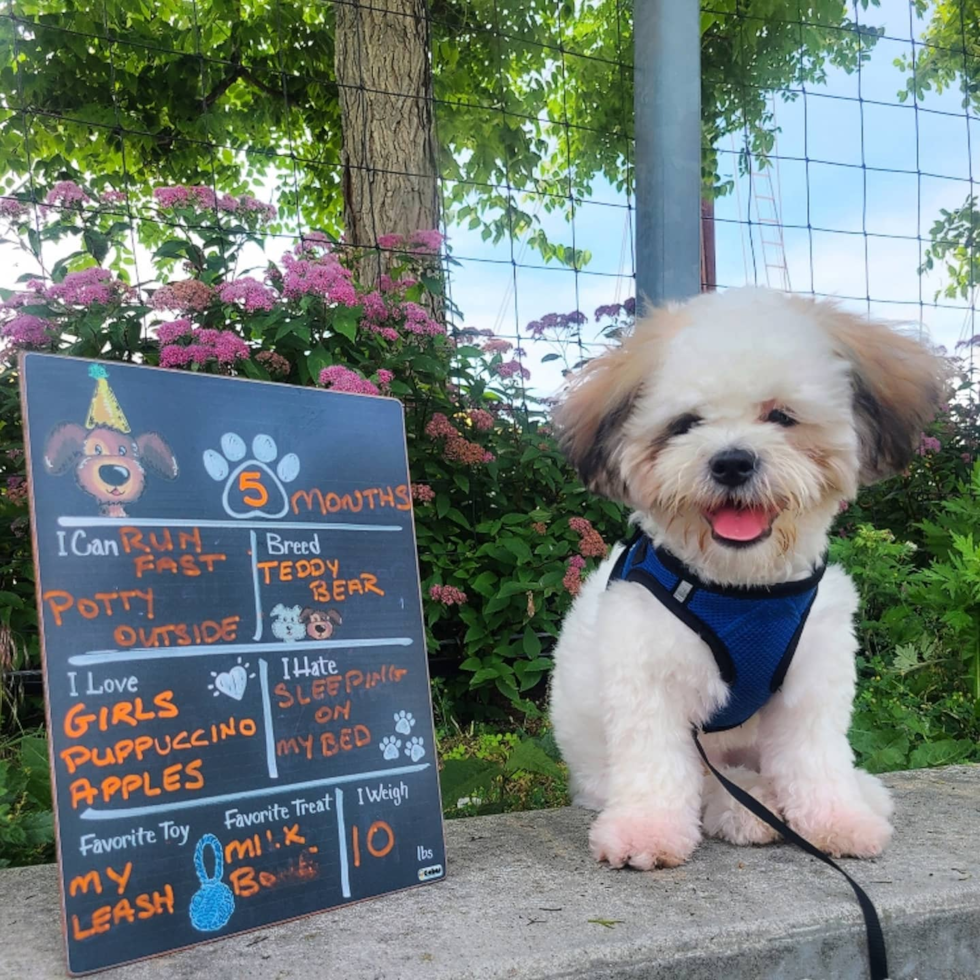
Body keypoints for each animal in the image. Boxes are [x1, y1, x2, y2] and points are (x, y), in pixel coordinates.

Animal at [552, 288, 940, 868]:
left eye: (781, 415)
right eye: (685, 423)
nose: (732, 462)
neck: (741, 589)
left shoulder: (811, 679)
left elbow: (815, 757)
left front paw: (837, 820)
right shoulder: (649, 676)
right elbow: (654, 761)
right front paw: (646, 832)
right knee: (715, 784)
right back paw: (748, 808)